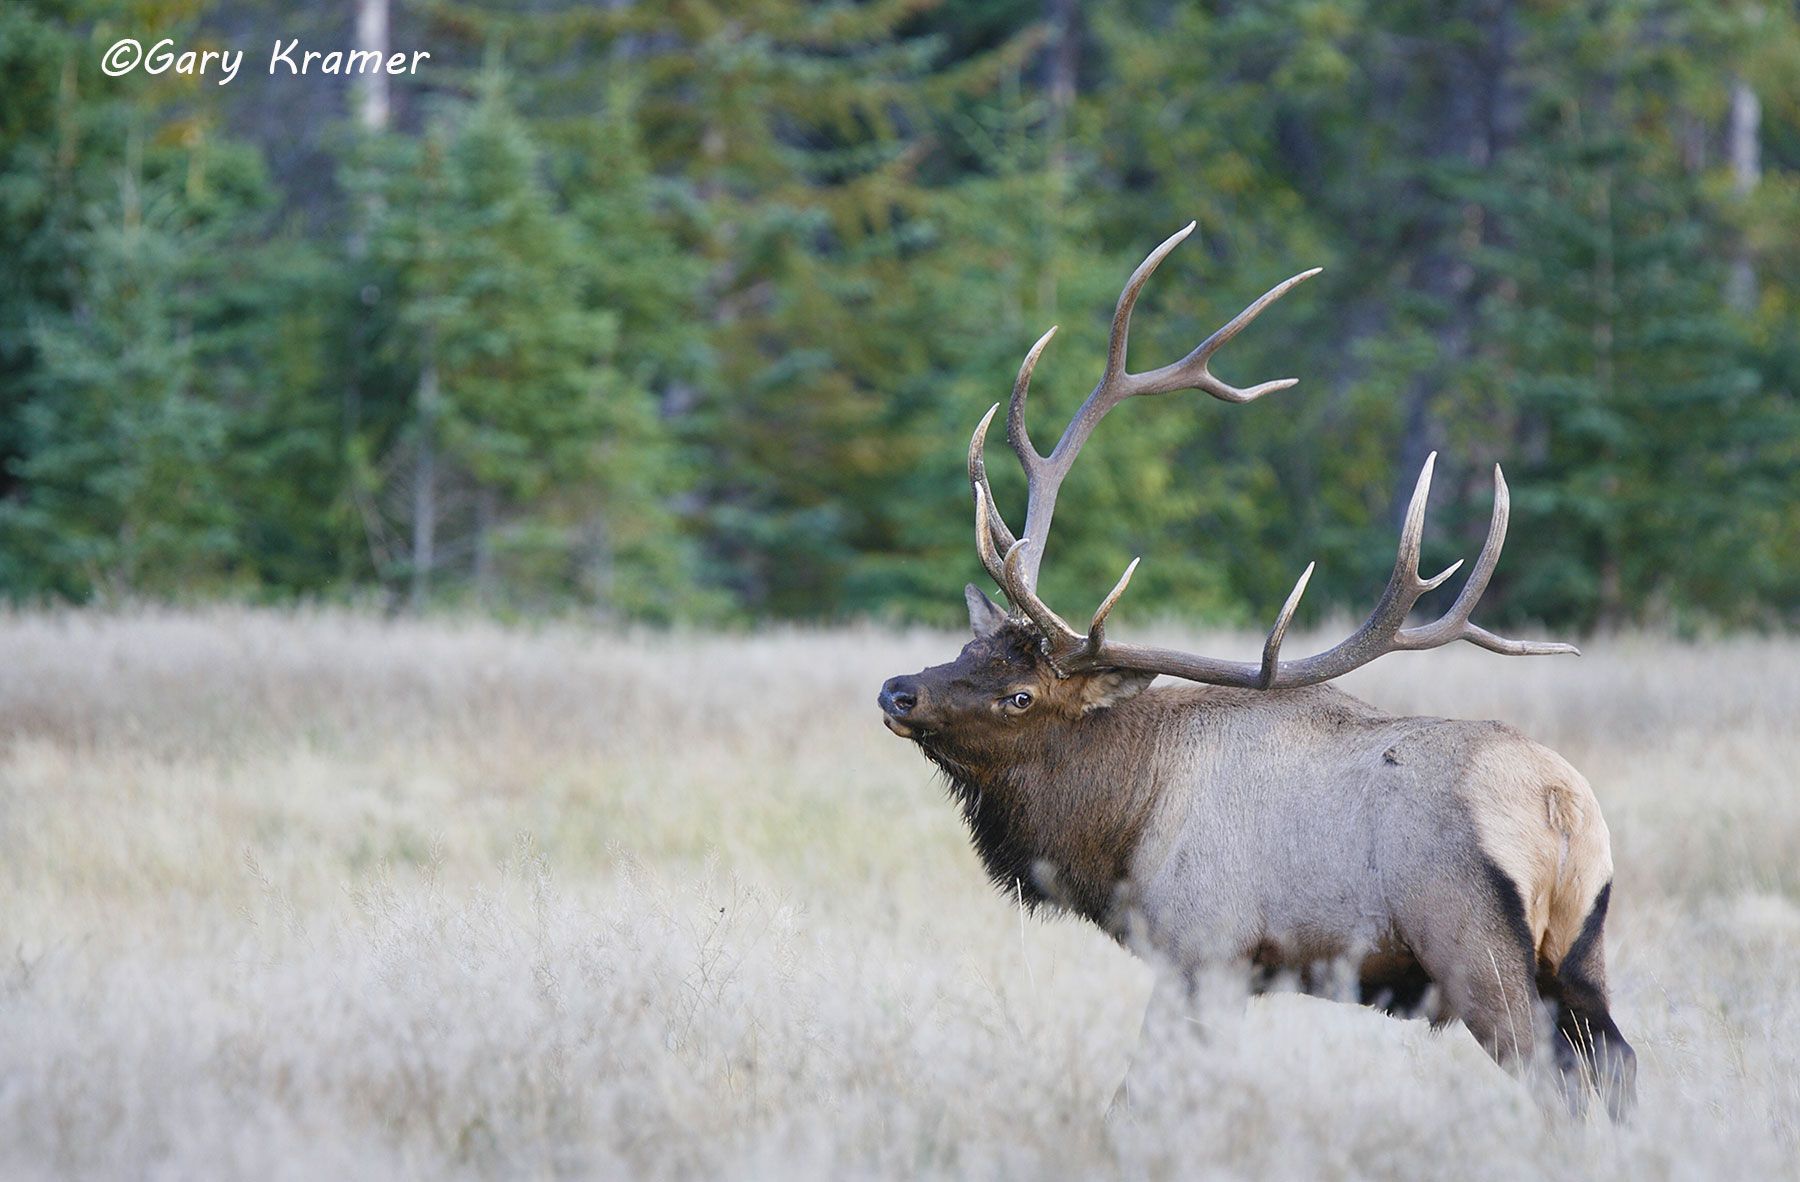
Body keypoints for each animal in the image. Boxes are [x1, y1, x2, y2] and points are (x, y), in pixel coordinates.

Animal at [877, 224, 1635, 1119]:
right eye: (969, 651)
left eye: (1019, 695)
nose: (896, 690)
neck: (1122, 826)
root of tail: (1561, 808)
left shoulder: (1205, 949)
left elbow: (1145, 1093)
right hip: (1582, 954)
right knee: (1618, 1066)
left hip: (1474, 947)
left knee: (1555, 1085)